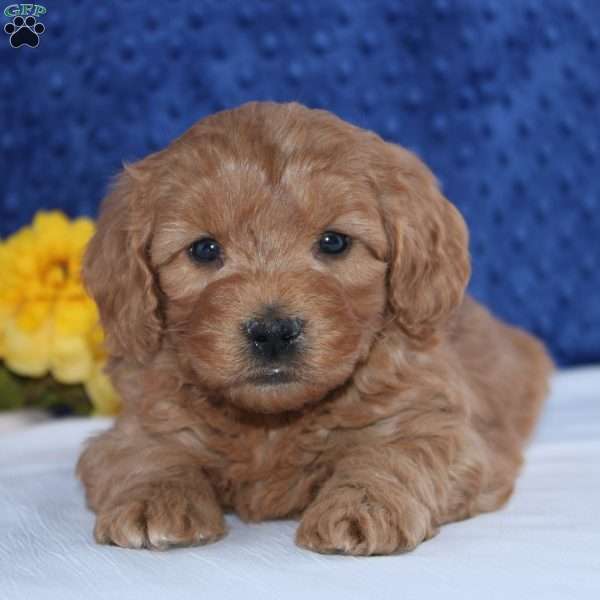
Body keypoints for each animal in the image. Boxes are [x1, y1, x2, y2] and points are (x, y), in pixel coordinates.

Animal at [76, 101, 552, 556]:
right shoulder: (141, 421)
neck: (271, 423)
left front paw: (363, 506)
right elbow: (150, 453)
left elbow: (395, 455)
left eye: (334, 242)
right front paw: (154, 500)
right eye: (205, 249)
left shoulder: (433, 422)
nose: (272, 332)